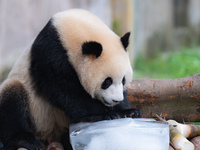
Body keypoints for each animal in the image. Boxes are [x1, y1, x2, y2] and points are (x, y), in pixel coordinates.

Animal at [0, 8, 141, 149]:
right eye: (107, 82)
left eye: (123, 80)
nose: (116, 100)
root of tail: (47, 136)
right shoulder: (50, 54)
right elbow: (64, 90)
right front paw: (106, 114)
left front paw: (129, 112)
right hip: (33, 108)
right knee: (12, 100)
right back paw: (26, 140)